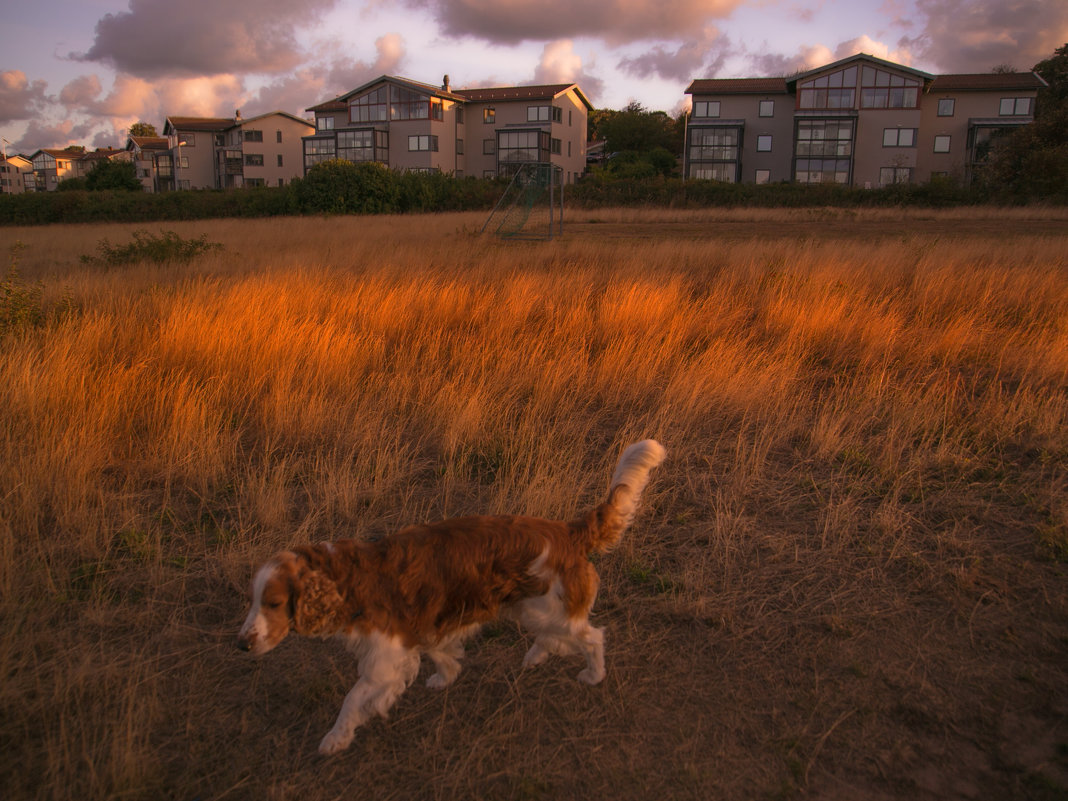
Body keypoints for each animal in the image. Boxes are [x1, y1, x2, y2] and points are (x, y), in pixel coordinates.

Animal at [238, 442, 662, 756]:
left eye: (273, 603)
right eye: (252, 600)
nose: (241, 644)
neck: (346, 578)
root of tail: (568, 531)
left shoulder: (384, 657)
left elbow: (352, 701)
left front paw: (334, 739)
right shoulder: (422, 630)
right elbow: (440, 654)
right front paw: (445, 677)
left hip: (547, 609)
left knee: (592, 636)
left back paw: (593, 673)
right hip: (532, 608)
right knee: (560, 635)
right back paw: (537, 655)